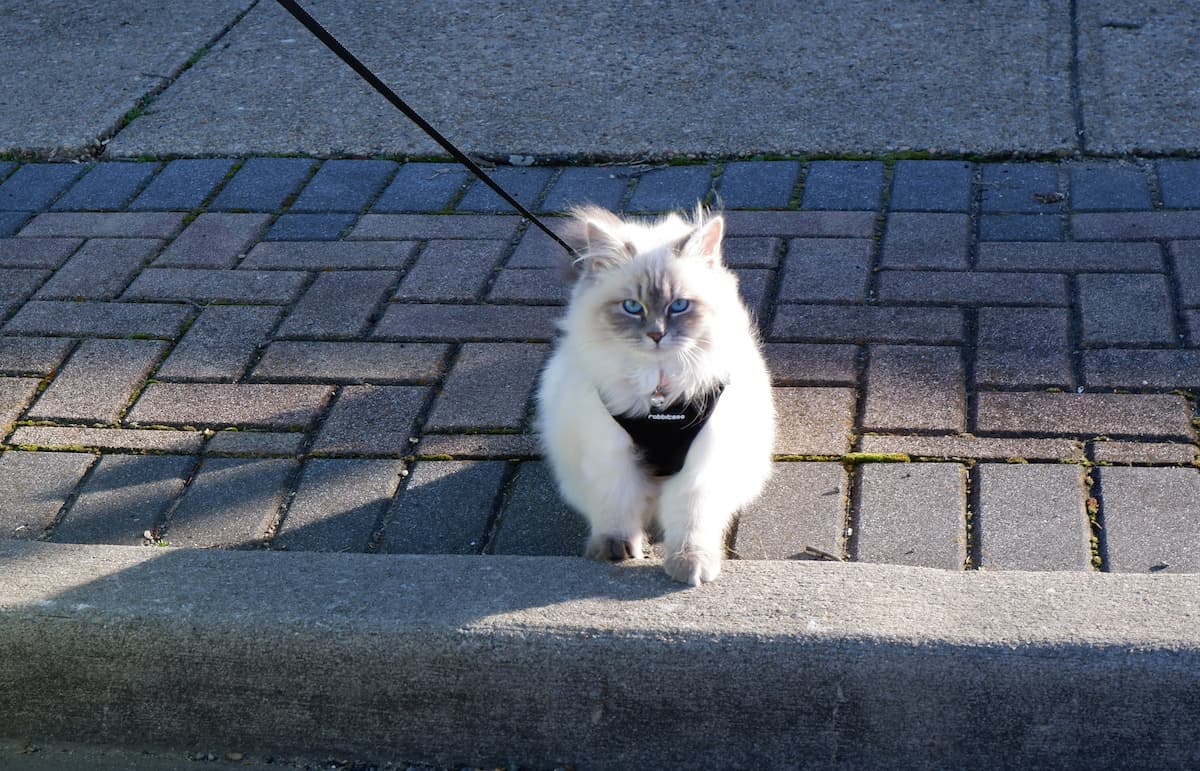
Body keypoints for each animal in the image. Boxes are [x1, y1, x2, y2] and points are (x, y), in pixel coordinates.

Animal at [537, 204, 777, 581]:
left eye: (679, 306)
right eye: (632, 307)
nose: (656, 335)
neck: (659, 394)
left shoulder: (698, 465)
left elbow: (691, 521)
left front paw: (689, 564)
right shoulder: (612, 456)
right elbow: (616, 509)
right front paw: (615, 551)